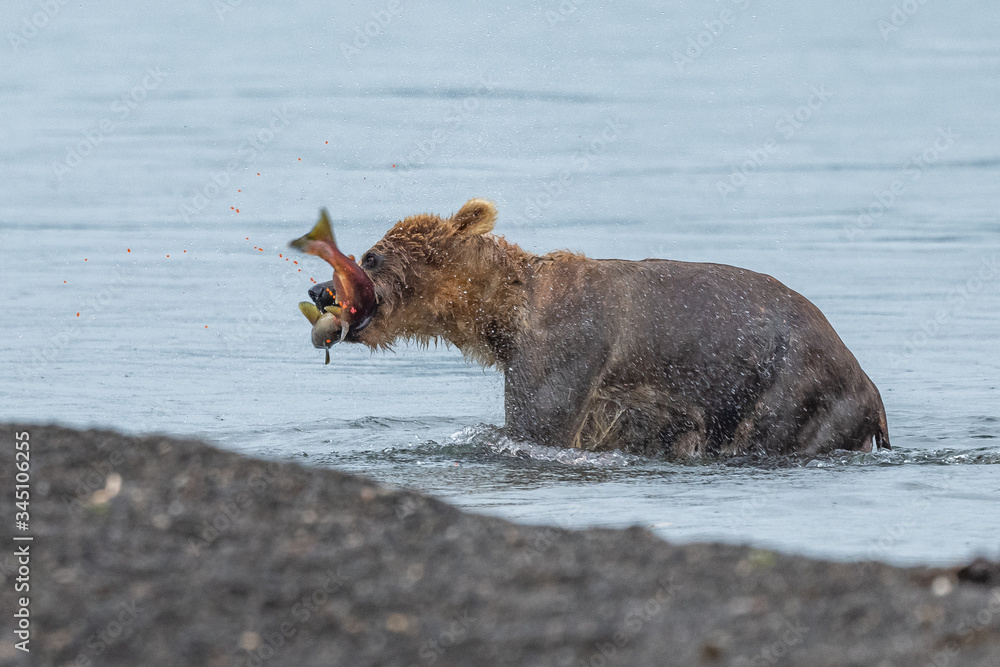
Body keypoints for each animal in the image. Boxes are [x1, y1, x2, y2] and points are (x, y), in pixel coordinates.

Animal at [295, 198, 890, 458]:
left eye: (369, 256)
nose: (319, 290)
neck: (503, 317)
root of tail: (869, 385)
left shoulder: (565, 347)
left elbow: (536, 425)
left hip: (791, 387)